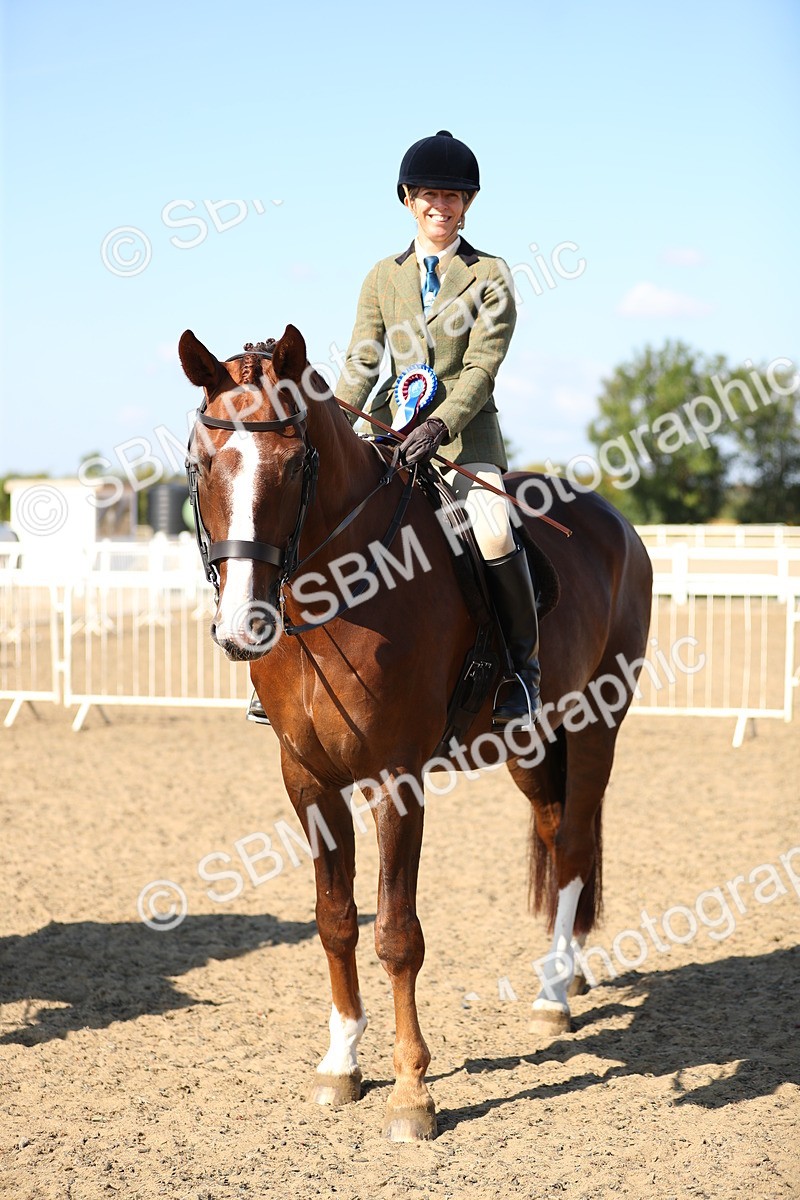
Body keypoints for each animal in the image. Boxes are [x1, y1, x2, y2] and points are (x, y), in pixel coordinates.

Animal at [178, 323, 653, 1142]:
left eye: (295, 463)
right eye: (203, 462)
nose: (243, 628)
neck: (340, 592)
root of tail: (615, 522)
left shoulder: (395, 781)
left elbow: (397, 933)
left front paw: (411, 1092)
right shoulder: (306, 778)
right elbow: (335, 919)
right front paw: (341, 1063)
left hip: (597, 722)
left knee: (573, 848)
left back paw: (553, 997)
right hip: (528, 742)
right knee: (555, 826)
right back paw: (565, 973)